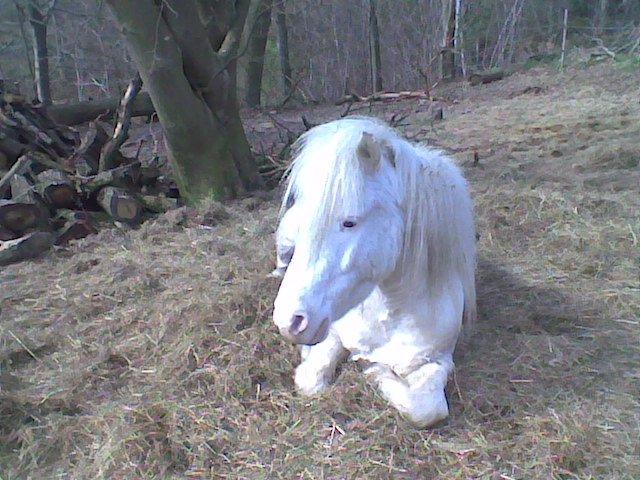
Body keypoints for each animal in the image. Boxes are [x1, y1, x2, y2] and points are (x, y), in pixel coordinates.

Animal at [270, 118, 476, 426]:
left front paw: (376, 371)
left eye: (350, 222)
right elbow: (311, 379)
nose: (289, 322)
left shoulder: (436, 359)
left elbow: (426, 409)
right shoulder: (333, 329)